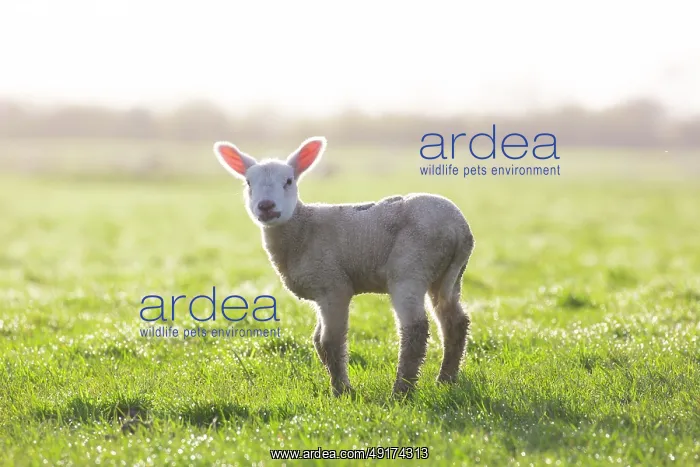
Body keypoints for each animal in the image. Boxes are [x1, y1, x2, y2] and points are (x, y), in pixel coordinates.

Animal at [213, 136, 475, 396]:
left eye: (288, 181)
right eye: (248, 182)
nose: (266, 206)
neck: (302, 229)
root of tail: (458, 228)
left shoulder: (333, 286)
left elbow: (330, 341)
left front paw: (342, 391)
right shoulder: (321, 292)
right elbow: (317, 340)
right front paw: (338, 385)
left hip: (411, 267)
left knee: (415, 329)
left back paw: (401, 391)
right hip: (449, 275)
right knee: (455, 321)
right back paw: (446, 379)